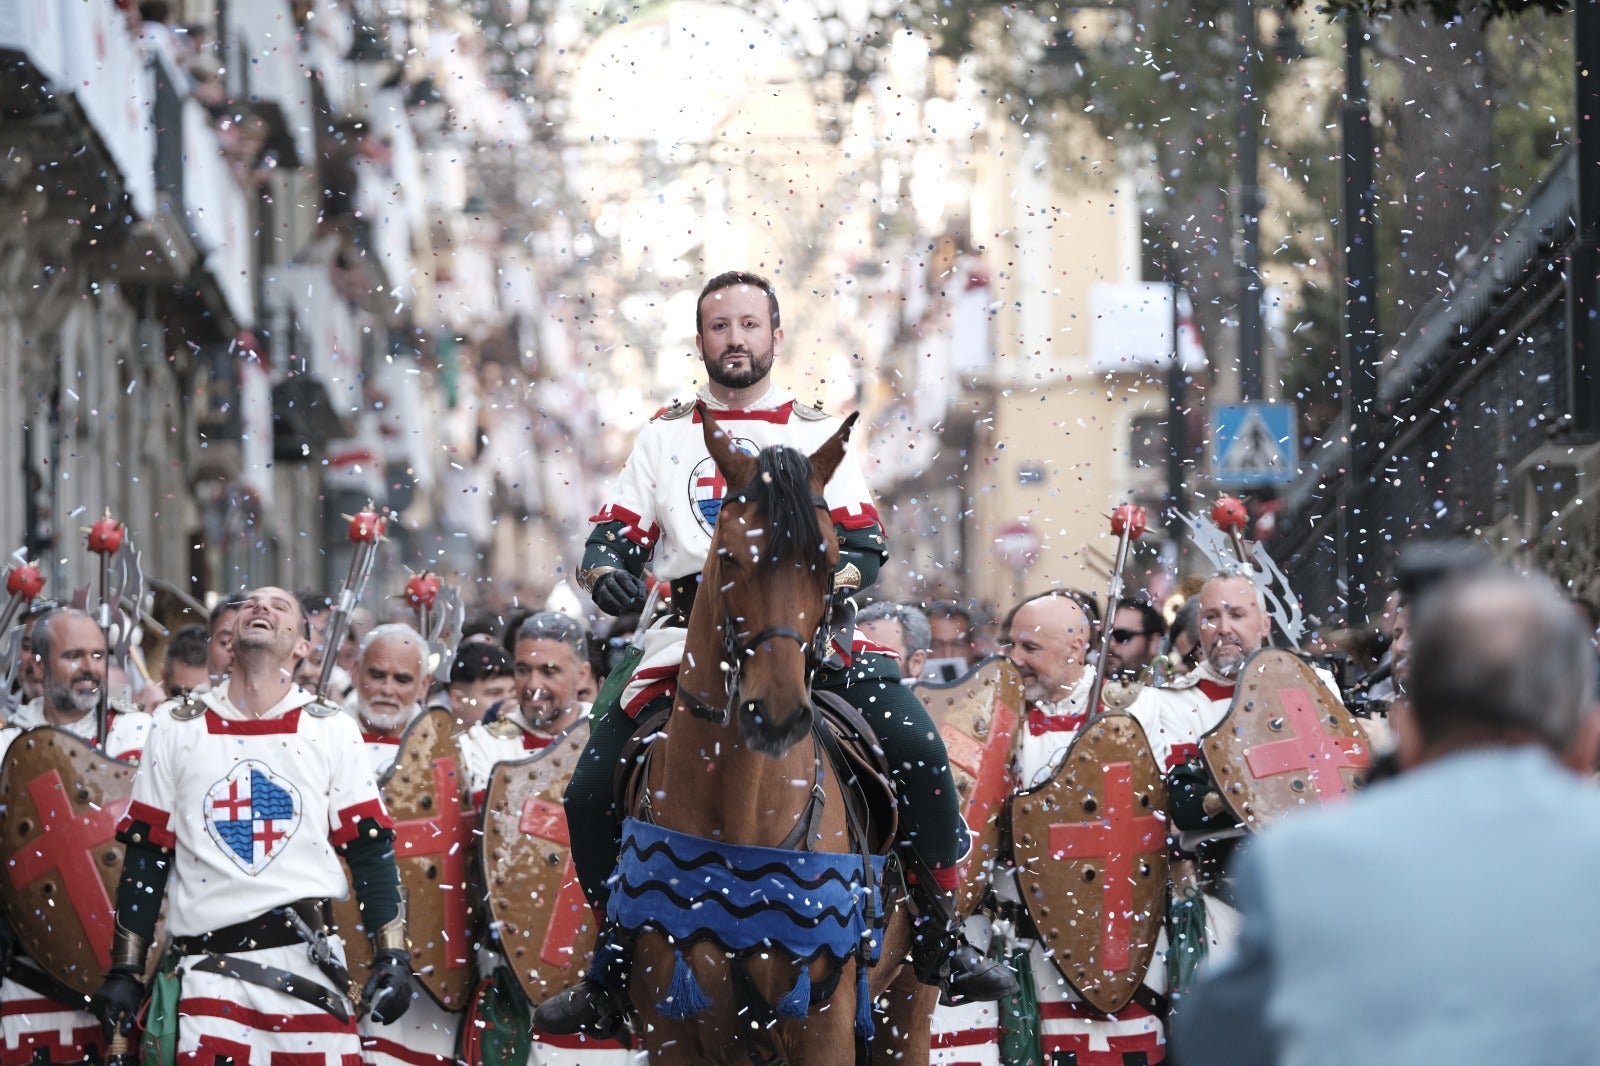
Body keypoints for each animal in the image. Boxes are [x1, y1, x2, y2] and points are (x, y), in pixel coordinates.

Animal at [617, 406, 934, 1062]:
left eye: (830, 557)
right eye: (731, 557)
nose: (779, 711)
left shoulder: (822, 1024)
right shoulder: (670, 1028)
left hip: (907, 1008)